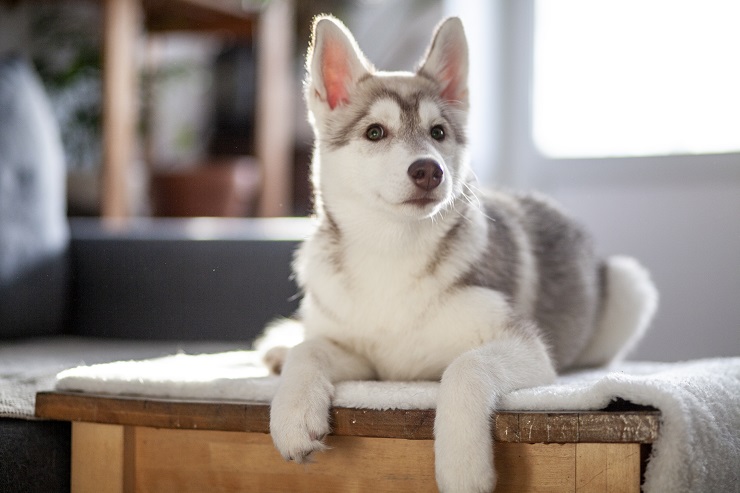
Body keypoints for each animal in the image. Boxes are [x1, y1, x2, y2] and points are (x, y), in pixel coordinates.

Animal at [268, 15, 660, 492]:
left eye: (438, 132)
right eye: (375, 132)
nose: (428, 170)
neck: (393, 252)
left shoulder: (525, 345)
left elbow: (465, 367)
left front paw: (461, 464)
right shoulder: (362, 356)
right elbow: (310, 350)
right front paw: (292, 414)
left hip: (629, 283)